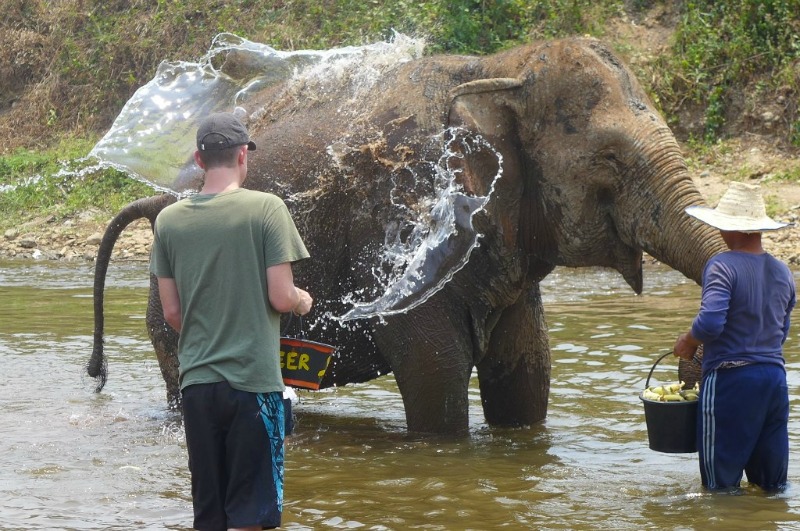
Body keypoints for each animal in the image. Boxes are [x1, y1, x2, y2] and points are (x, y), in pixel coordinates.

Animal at [87, 37, 724, 436]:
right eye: (610, 159)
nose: (690, 365)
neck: (494, 67)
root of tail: (159, 198)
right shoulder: (404, 224)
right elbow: (434, 378)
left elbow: (526, 381)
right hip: (169, 309)